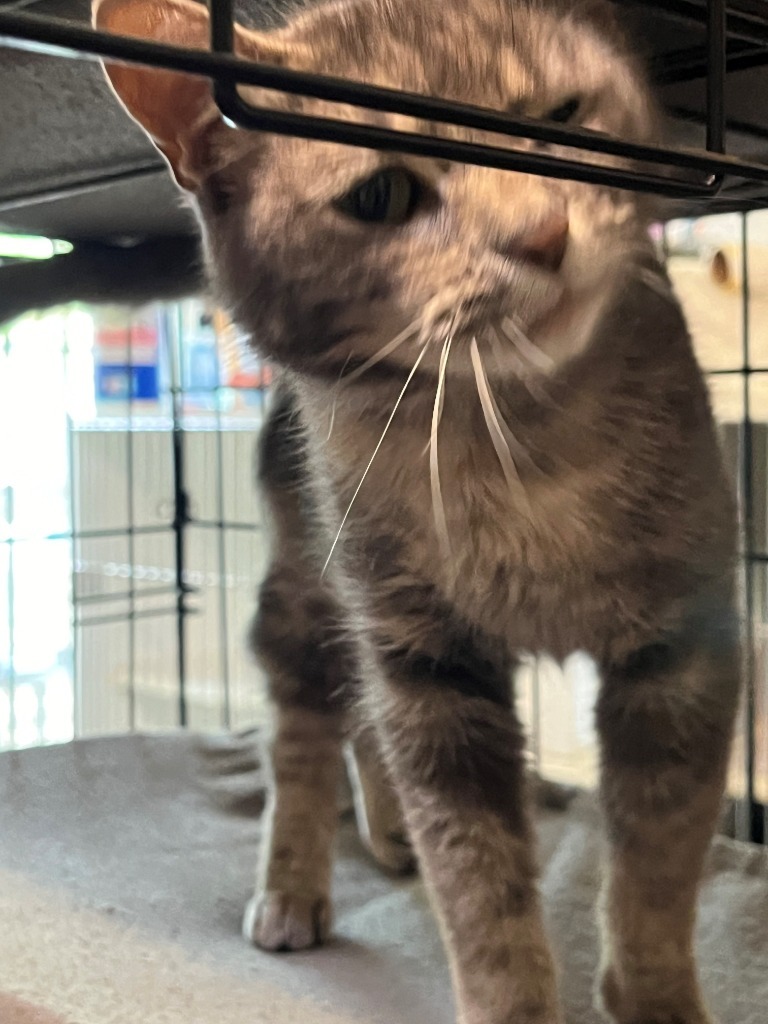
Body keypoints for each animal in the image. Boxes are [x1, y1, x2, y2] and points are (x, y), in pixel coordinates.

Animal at [93, 2, 741, 1024]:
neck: (522, 442)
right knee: (305, 734)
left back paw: (386, 831)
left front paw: (653, 997)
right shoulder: (428, 668)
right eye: (380, 196)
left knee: (360, 726)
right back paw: (294, 885)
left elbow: (659, 859)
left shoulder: (686, 648)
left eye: (562, 117)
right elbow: (479, 888)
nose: (543, 233)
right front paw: (513, 998)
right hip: (311, 590)